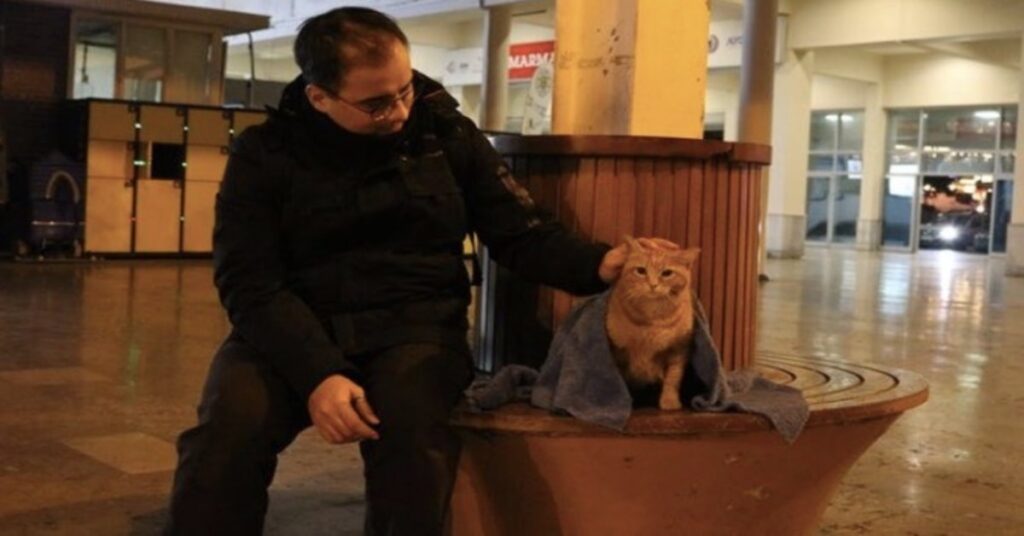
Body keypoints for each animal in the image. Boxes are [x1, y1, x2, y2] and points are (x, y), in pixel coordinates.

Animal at [602, 238, 700, 411]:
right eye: (641, 271)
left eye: (667, 273)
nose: (652, 285)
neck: (651, 322)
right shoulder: (618, 351)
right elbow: (620, 380)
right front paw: (624, 402)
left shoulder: (679, 349)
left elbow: (673, 378)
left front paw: (669, 401)